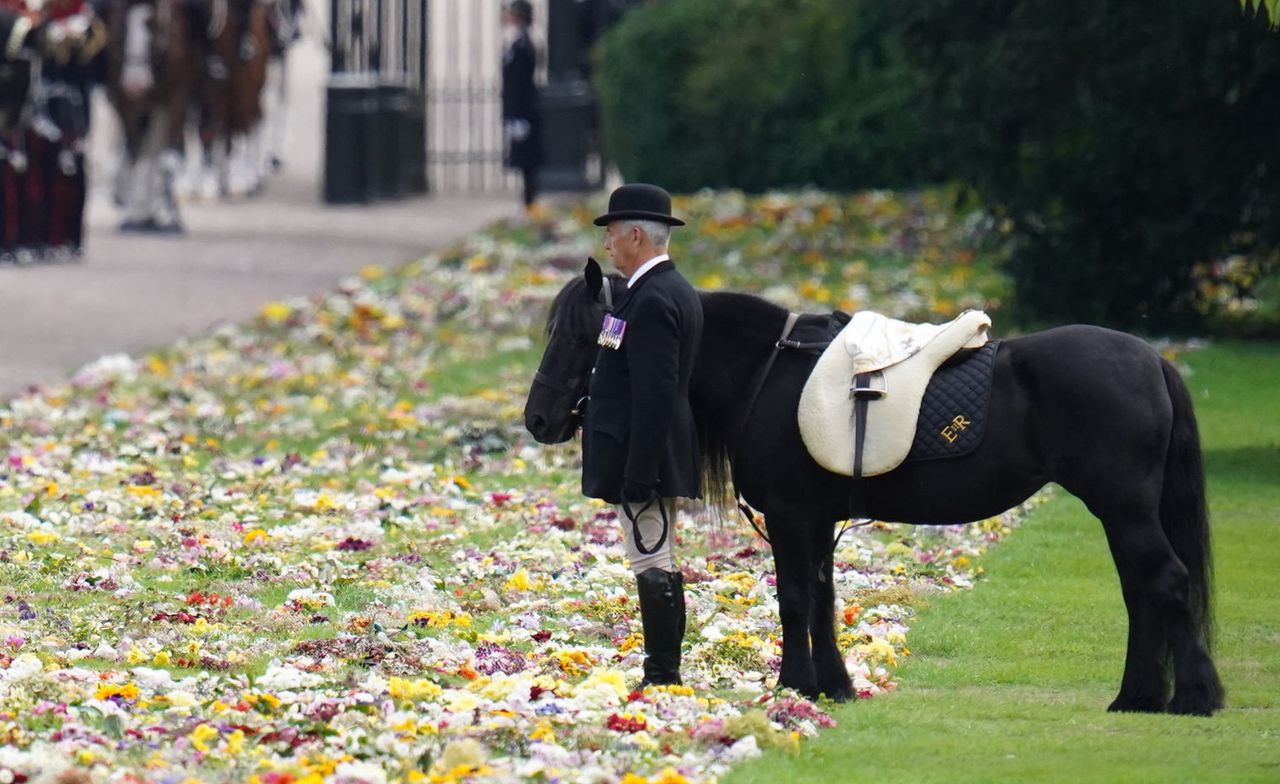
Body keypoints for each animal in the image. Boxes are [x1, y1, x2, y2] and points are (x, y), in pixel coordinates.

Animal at [104, 0, 195, 233]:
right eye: (122, 26)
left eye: (153, 25)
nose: (135, 84)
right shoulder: (125, 104)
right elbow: (136, 153)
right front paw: (135, 215)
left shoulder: (175, 101)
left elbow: (167, 157)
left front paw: (169, 217)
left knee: (155, 148)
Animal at [524, 263, 1223, 717]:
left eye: (582, 335)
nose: (539, 419)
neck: (765, 372)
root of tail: (1152, 360)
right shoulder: (816, 520)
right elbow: (824, 600)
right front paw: (833, 686)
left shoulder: (791, 515)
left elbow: (795, 600)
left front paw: (794, 686)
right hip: (1122, 511)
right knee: (1141, 590)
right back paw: (1137, 697)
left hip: (1123, 507)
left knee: (1165, 582)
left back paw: (1193, 697)